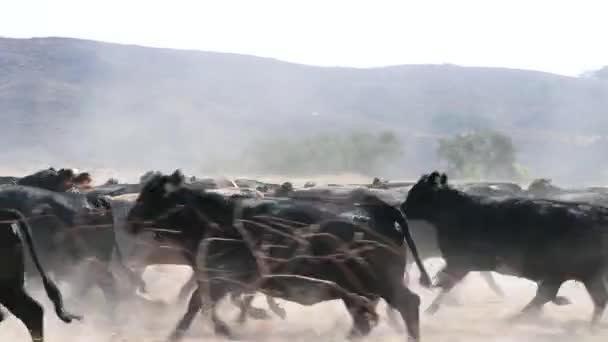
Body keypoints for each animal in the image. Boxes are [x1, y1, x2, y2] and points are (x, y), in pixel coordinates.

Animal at [127, 170, 432, 340]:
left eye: (153, 195)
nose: (129, 220)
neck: (218, 221)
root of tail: (382, 210)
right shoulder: (219, 281)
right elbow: (199, 306)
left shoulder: (221, 279)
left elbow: (199, 306)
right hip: (356, 291)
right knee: (363, 323)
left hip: (380, 284)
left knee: (409, 304)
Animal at [404, 172, 608, 328]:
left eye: (418, 192)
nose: (403, 208)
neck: (458, 211)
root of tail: (597, 213)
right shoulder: (461, 264)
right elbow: (446, 283)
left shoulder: (460, 262)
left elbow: (444, 282)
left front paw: (430, 305)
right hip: (585, 274)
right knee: (594, 298)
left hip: (571, 271)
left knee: (549, 295)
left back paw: (517, 318)